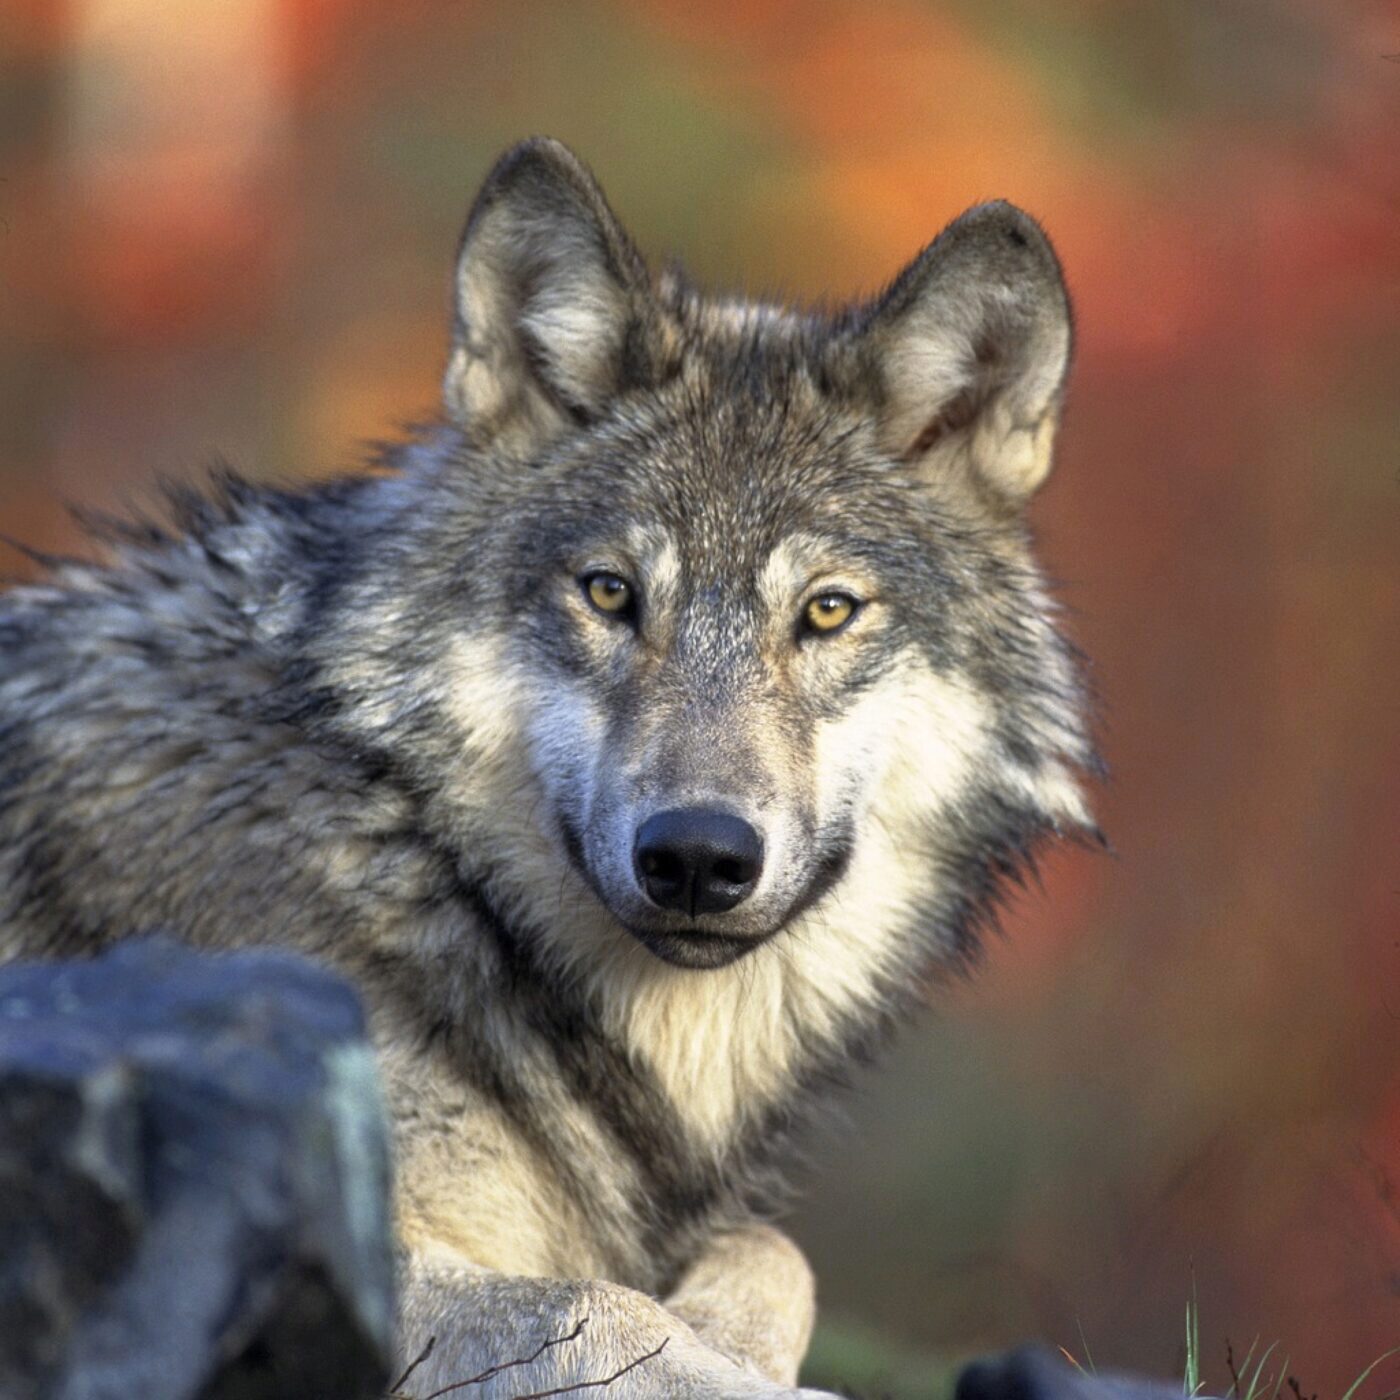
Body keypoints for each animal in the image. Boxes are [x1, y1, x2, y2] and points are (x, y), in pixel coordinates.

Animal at [0, 138, 1096, 1397]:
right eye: (610, 593)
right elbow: (600, 1305)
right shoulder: (320, 1246)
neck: (412, 855)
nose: (696, 855)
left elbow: (772, 1252)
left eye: (826, 610)